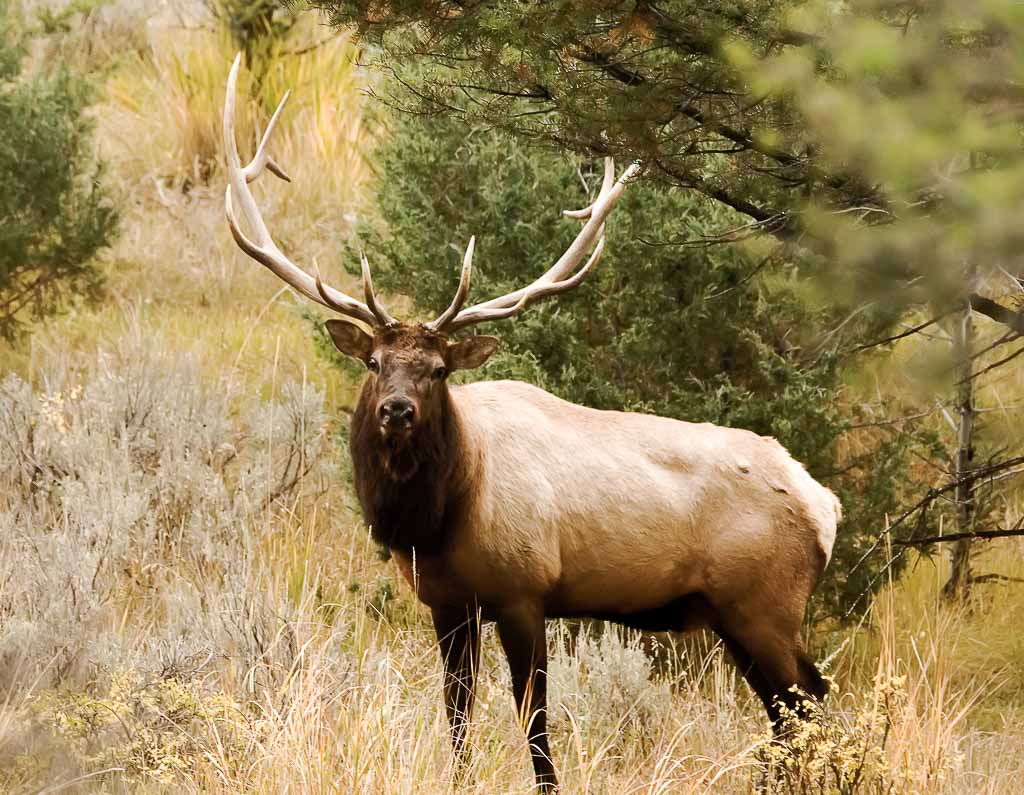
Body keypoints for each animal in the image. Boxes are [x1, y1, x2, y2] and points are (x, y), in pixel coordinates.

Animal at [224, 54, 839, 786]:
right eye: (374, 360)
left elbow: (534, 719)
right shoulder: (447, 602)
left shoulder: (525, 590)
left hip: (767, 603)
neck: (441, 516)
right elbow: (457, 714)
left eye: (439, 369)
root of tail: (824, 504)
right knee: (790, 717)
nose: (397, 410)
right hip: (735, 615)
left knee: (814, 703)